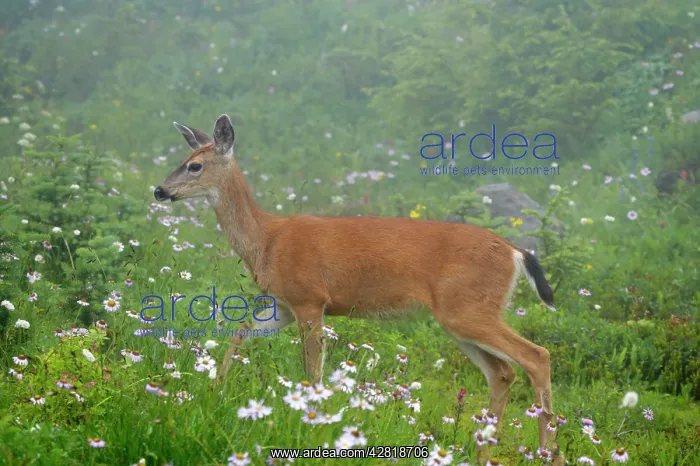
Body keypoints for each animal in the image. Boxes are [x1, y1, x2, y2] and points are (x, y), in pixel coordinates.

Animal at [154, 114, 565, 465]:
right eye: (184, 158)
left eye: (195, 165)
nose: (159, 190)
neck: (267, 241)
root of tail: (515, 251)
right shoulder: (283, 304)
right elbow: (239, 334)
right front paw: (214, 393)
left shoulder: (310, 299)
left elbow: (312, 370)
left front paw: (313, 421)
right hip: (461, 317)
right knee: (503, 372)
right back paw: (484, 450)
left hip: (469, 308)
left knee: (536, 356)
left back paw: (548, 452)